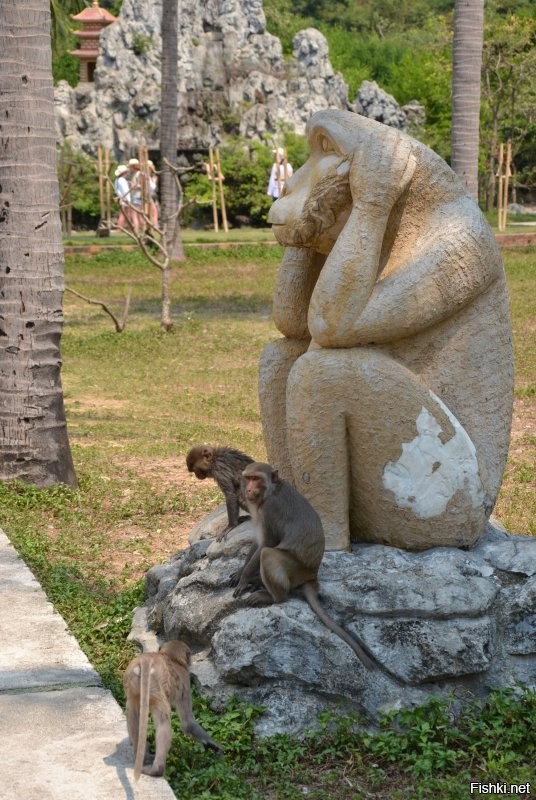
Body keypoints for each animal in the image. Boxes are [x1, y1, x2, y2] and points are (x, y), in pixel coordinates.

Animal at [123, 640, 222, 780]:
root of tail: (145, 660)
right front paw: (213, 744)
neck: (172, 658)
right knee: (163, 722)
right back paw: (157, 770)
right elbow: (187, 723)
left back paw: (142, 757)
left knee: (132, 713)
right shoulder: (185, 678)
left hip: (132, 684)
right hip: (155, 689)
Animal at [262, 109, 512, 552]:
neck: (407, 215)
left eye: (324, 148)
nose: (285, 188)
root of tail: (475, 531)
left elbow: (336, 325)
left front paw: (381, 170)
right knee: (280, 354)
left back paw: (327, 546)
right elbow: (293, 322)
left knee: (321, 374)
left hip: (437, 495)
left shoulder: (458, 246)